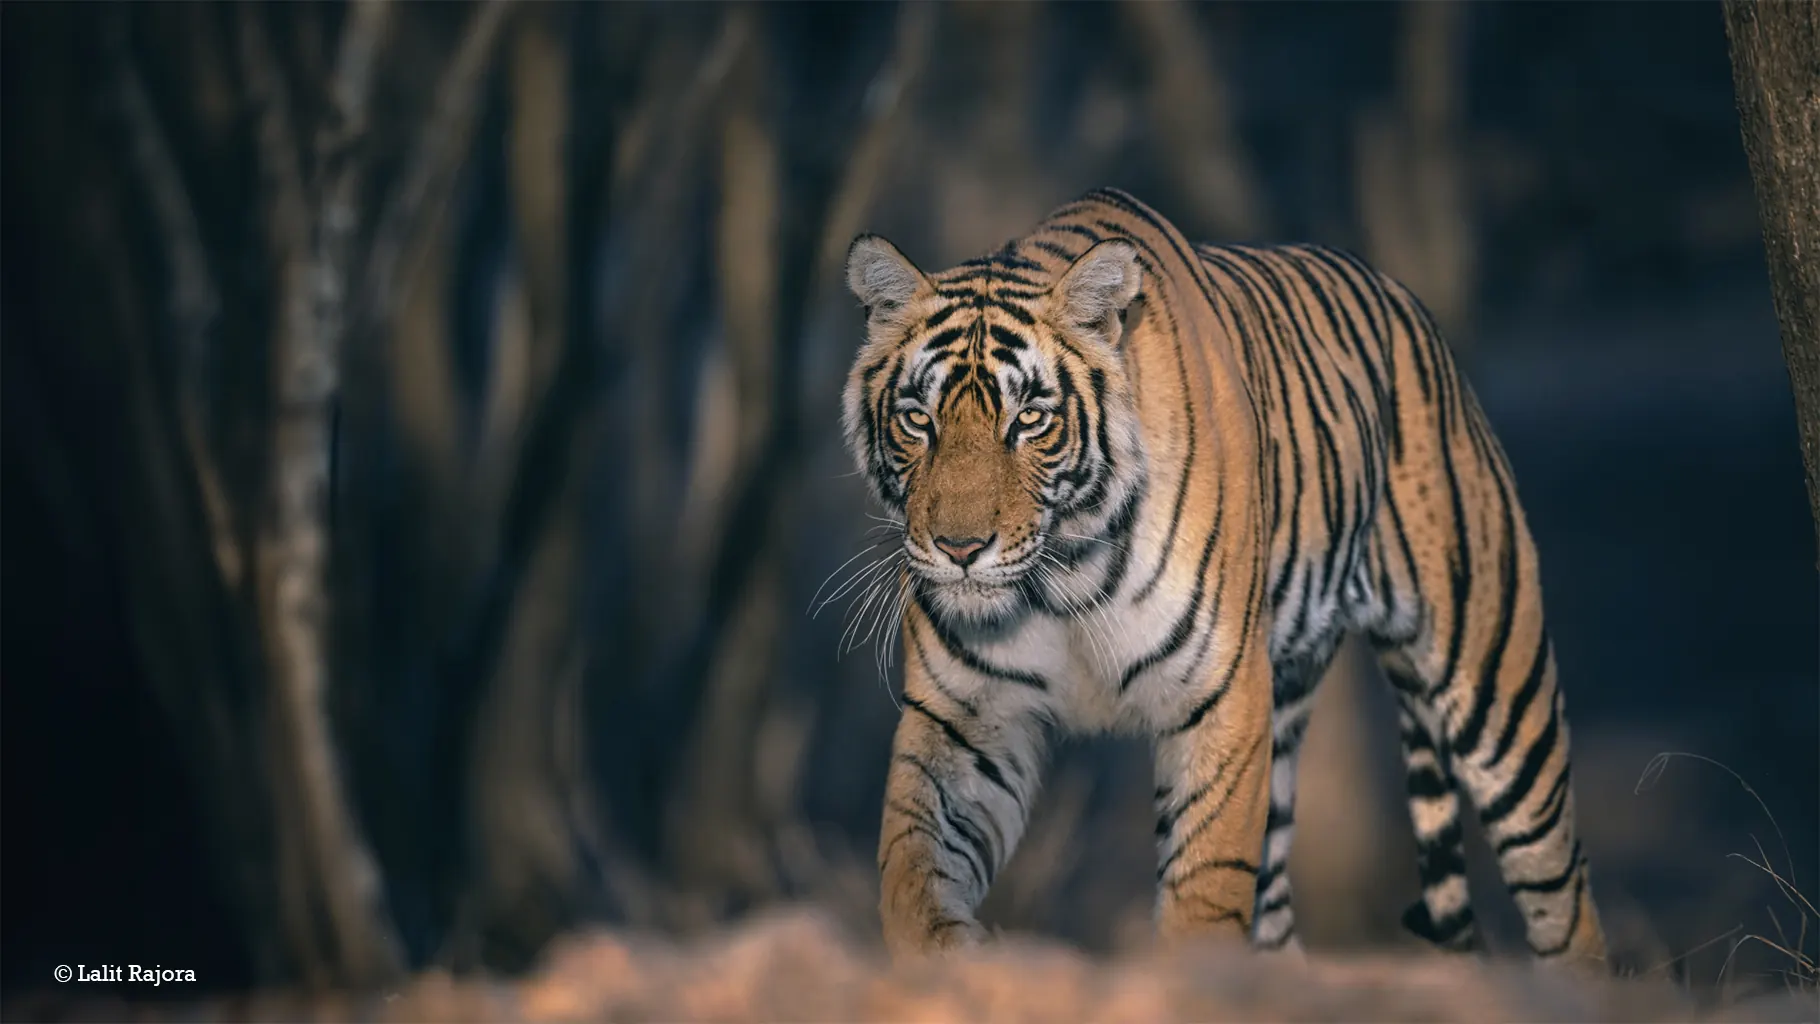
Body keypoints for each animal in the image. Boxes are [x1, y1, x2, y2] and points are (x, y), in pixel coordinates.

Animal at [838, 186, 1606, 966]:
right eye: (917, 420)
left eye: (1029, 420)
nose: (960, 548)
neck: (1064, 575)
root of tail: (1407, 301)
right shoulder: (966, 717)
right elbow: (913, 864)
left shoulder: (1219, 693)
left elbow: (1205, 887)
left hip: (1497, 685)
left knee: (1565, 895)